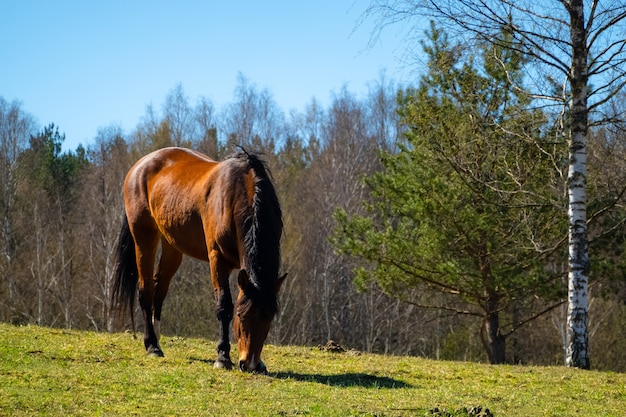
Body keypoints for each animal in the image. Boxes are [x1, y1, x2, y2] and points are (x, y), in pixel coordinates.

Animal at [111, 145, 282, 370]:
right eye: (240, 315)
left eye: (269, 318)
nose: (250, 363)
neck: (238, 194)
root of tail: (140, 165)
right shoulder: (217, 259)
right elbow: (224, 305)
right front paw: (222, 357)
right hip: (143, 238)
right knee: (146, 290)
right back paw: (152, 346)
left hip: (172, 245)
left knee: (159, 289)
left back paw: (157, 339)